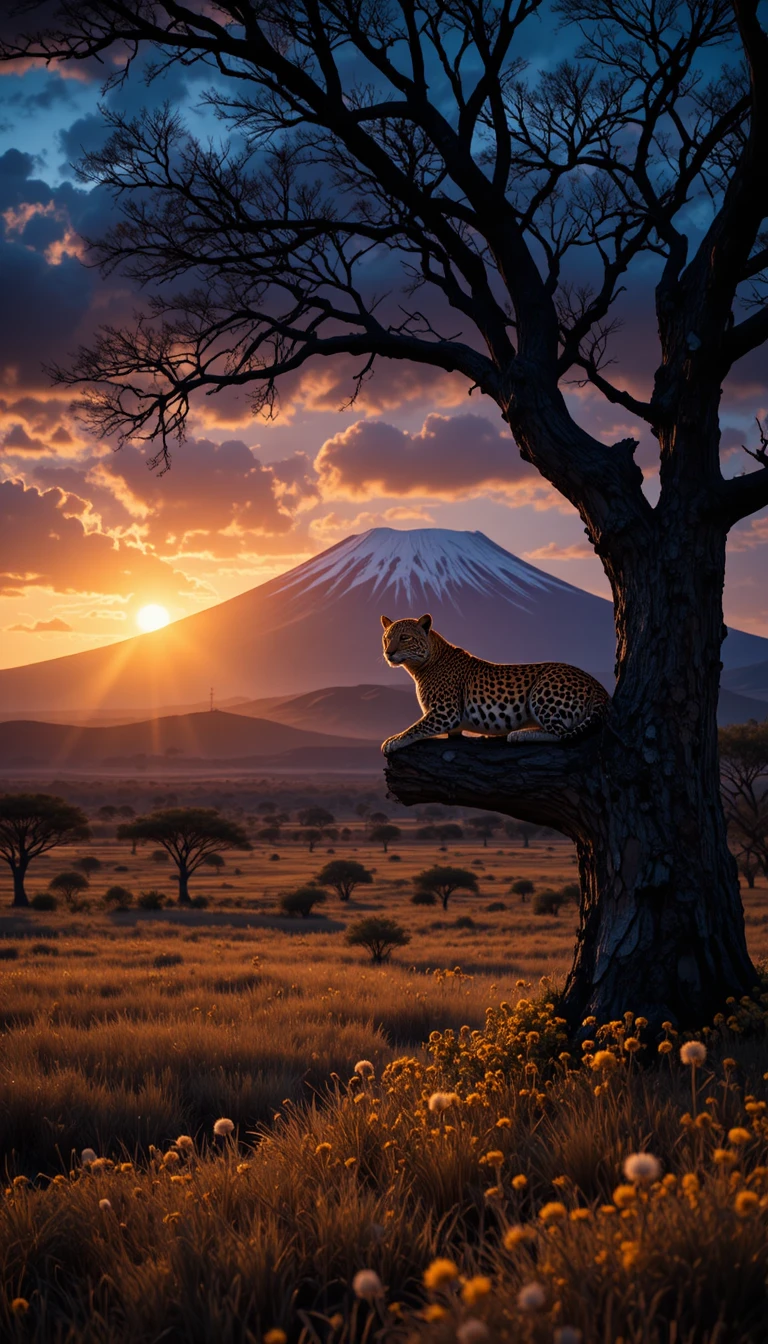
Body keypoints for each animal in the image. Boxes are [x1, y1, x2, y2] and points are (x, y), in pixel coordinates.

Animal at [380, 613, 610, 755]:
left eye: (405, 637)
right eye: (386, 638)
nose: (388, 653)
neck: (420, 667)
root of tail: (598, 685)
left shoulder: (446, 713)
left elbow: (416, 727)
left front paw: (393, 740)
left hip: (544, 689)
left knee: (562, 735)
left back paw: (520, 734)